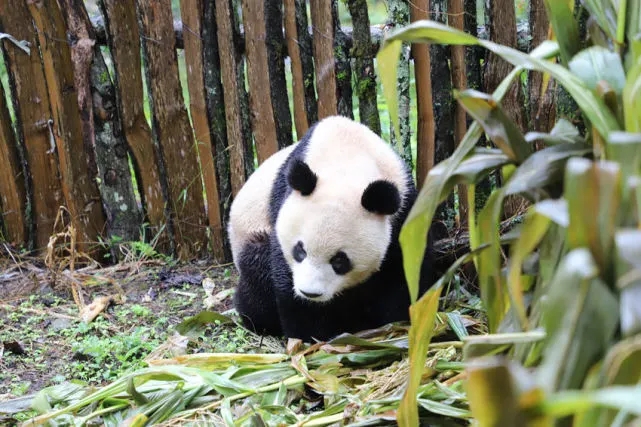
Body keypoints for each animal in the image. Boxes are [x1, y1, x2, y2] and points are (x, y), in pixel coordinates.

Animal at [228, 115, 437, 342]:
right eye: (299, 251)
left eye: (340, 260)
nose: (310, 293)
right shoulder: (282, 203)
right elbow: (283, 272)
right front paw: (311, 333)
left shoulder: (403, 207)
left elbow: (402, 269)